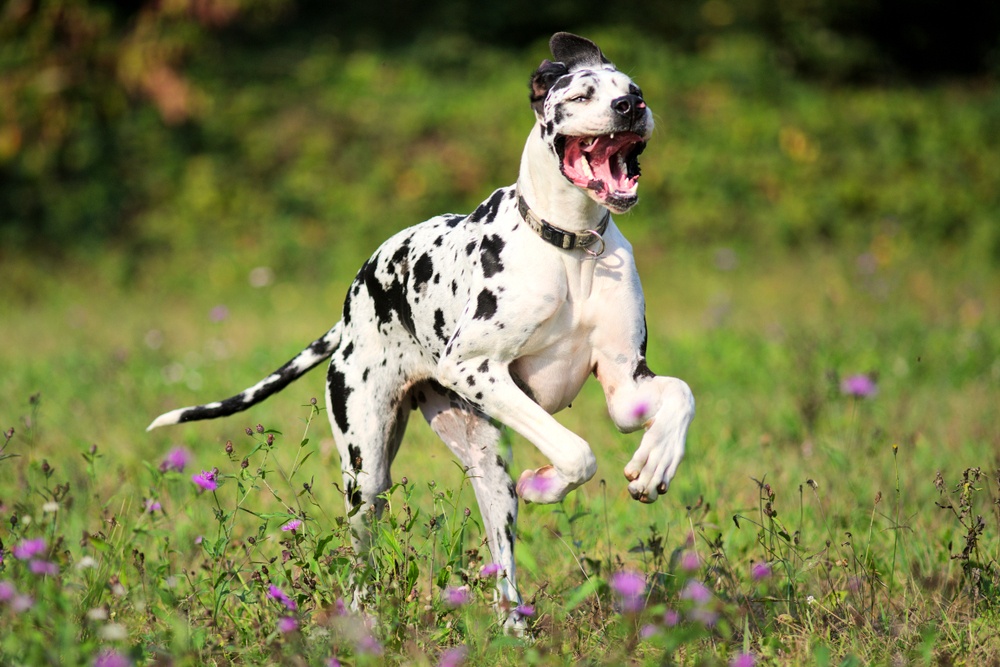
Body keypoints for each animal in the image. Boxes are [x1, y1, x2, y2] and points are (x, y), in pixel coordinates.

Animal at [148, 32, 696, 636]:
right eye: (581, 95)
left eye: (634, 88)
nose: (631, 107)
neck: (571, 246)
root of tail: (351, 308)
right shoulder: (476, 368)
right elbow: (576, 451)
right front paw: (547, 483)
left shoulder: (625, 382)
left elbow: (680, 395)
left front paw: (655, 462)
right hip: (368, 471)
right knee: (360, 561)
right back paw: (363, 623)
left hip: (487, 471)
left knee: (502, 567)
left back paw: (514, 630)